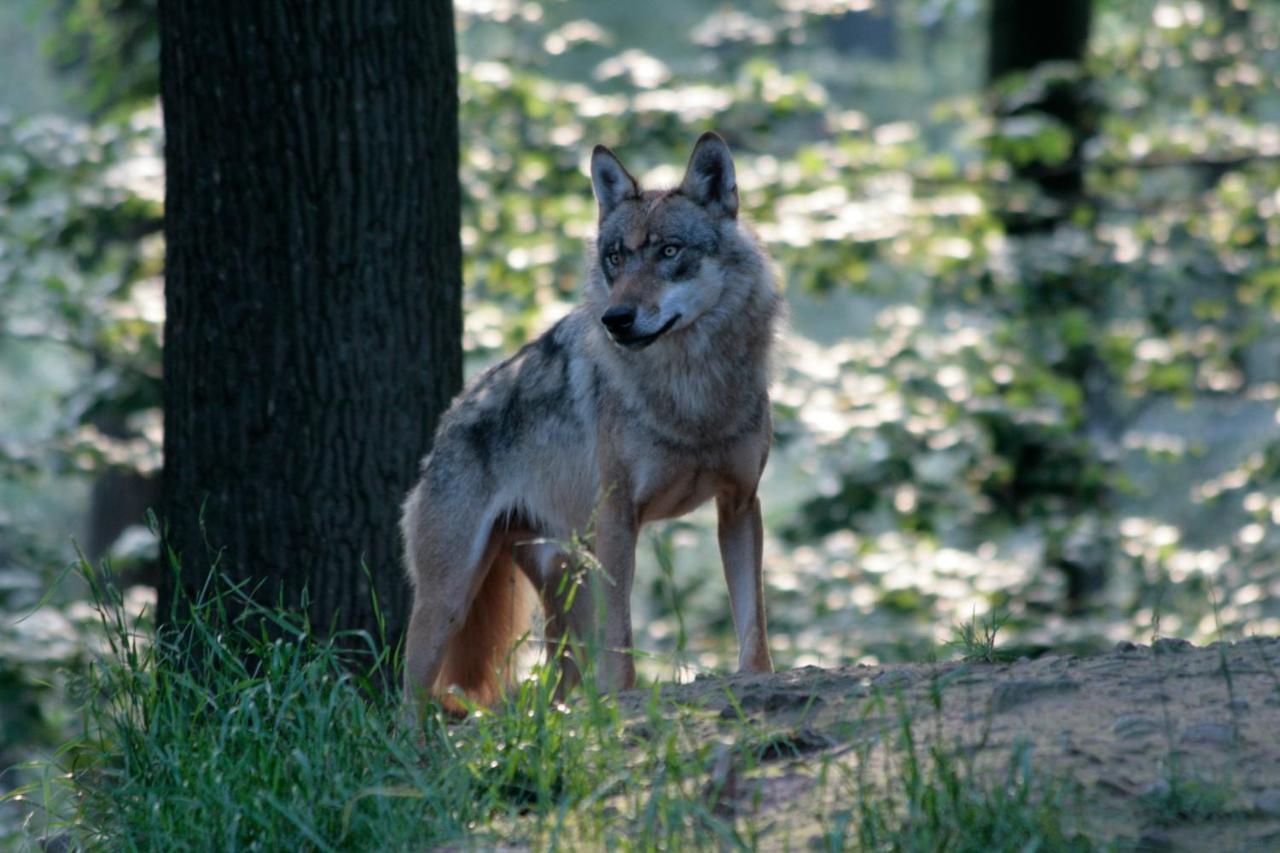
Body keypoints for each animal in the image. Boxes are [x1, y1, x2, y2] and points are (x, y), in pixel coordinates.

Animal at [399, 129, 778, 706]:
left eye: (669, 251)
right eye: (615, 258)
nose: (615, 319)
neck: (690, 390)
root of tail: (450, 418)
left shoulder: (739, 504)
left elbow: (752, 623)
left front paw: (757, 681)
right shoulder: (619, 519)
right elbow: (621, 643)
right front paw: (624, 704)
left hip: (565, 586)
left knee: (558, 683)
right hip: (450, 602)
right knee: (406, 701)